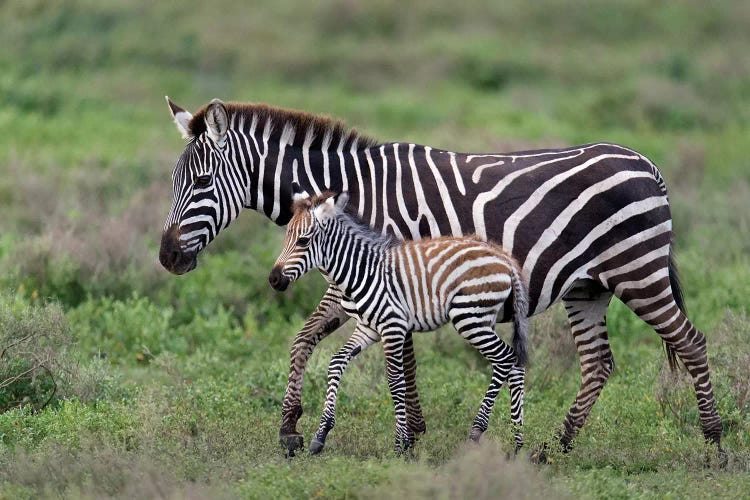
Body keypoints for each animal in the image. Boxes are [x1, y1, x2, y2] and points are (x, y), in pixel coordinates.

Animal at [270, 189, 528, 456]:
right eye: (287, 236)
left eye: (303, 241)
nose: (273, 279)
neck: (360, 271)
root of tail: (505, 258)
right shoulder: (367, 328)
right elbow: (336, 362)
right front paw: (321, 435)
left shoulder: (392, 327)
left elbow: (396, 381)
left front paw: (400, 445)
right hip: (484, 319)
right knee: (516, 364)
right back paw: (517, 441)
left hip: (470, 317)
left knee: (505, 358)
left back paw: (478, 432)